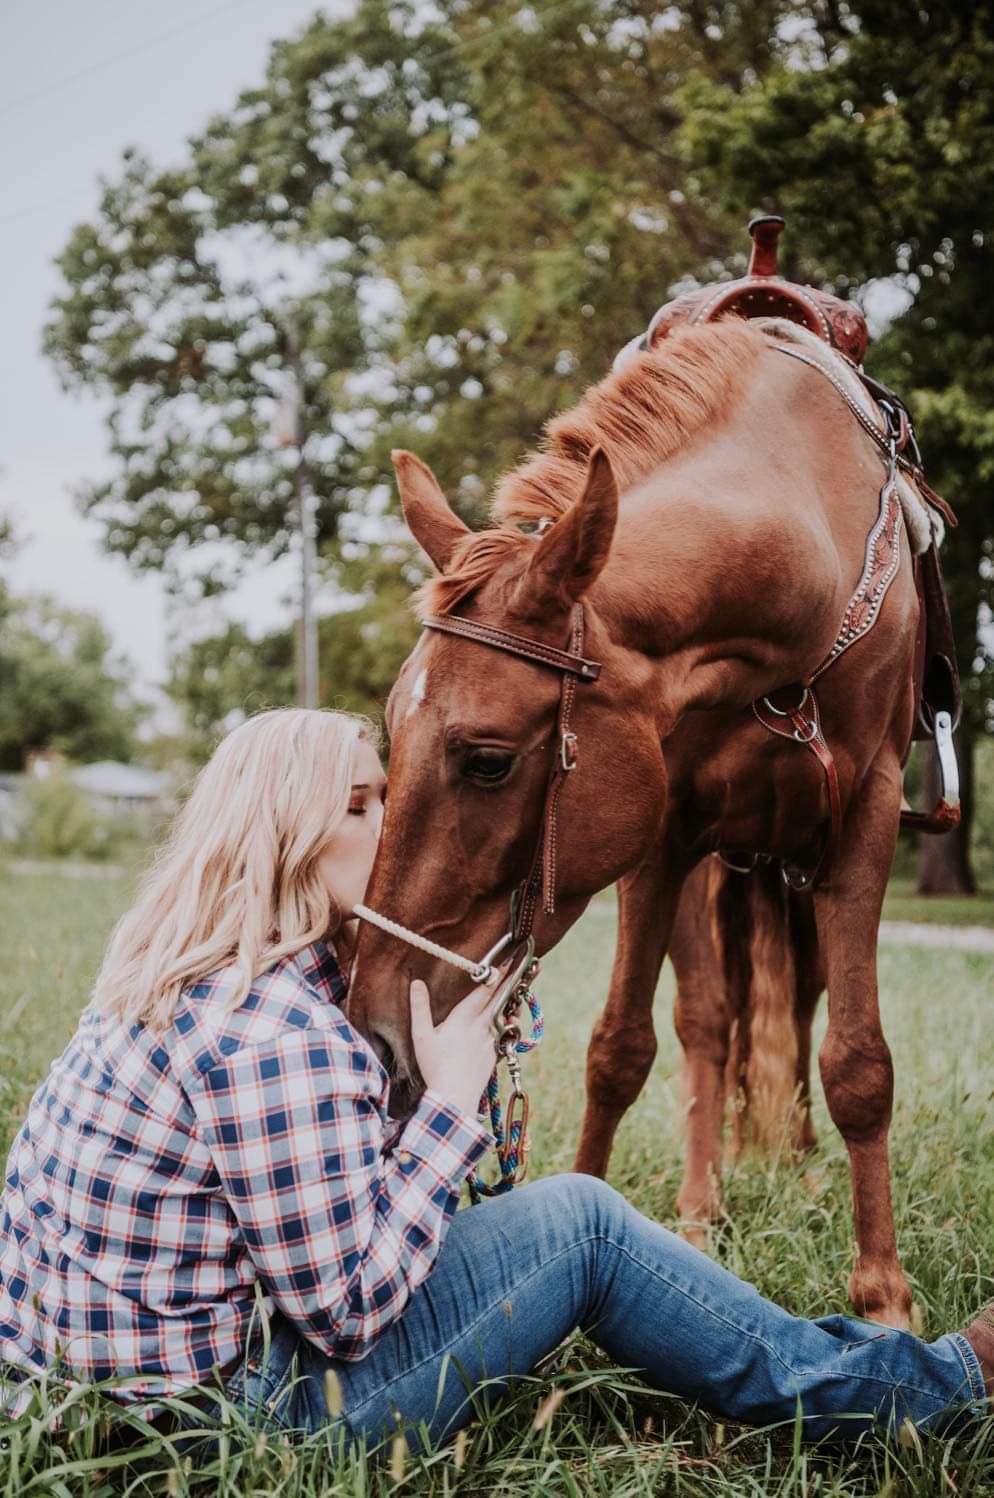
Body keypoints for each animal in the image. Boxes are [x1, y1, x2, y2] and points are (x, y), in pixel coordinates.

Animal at [351, 322, 922, 1330]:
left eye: (488, 759)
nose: (373, 1031)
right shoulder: (664, 833)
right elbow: (622, 1047)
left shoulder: (866, 818)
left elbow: (859, 1062)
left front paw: (884, 1298)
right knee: (710, 1021)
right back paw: (700, 1212)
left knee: (797, 1007)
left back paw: (806, 1173)